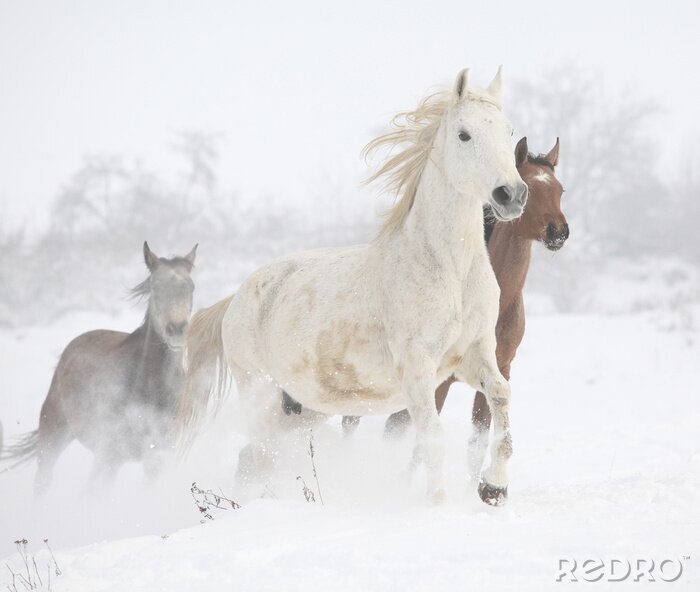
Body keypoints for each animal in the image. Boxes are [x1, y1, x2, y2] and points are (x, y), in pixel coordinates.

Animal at [0, 242, 197, 494]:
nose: (177, 330)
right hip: (54, 435)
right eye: (155, 286)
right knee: (44, 482)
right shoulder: (108, 455)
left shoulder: (157, 459)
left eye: (190, 287)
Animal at [178, 67, 528, 505]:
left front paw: (493, 487)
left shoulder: (474, 354)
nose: (511, 194)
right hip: (259, 392)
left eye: (509, 130)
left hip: (304, 408)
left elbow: (501, 396)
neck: (450, 271)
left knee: (254, 459)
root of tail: (237, 298)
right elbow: (431, 441)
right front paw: (438, 506)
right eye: (464, 134)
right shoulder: (417, 369)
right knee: (256, 457)